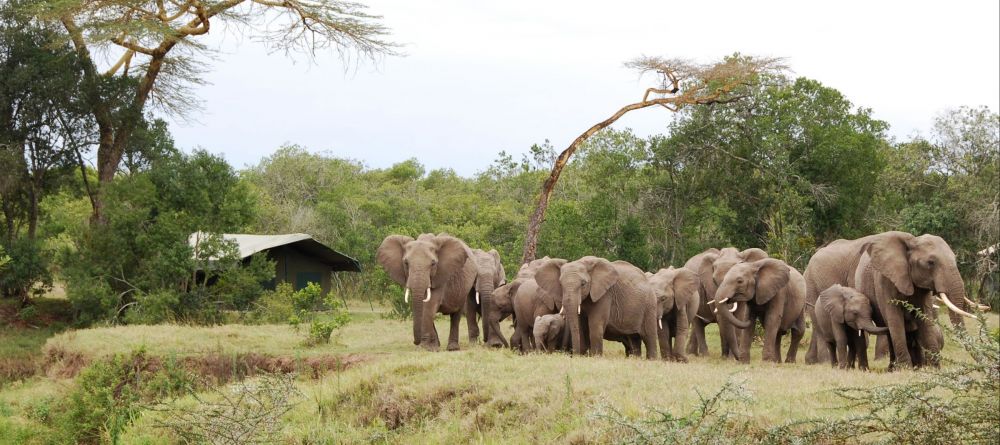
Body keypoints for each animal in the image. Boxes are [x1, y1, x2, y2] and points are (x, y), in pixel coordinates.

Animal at [800, 231, 980, 366]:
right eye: (931, 262)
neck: (912, 241)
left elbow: (924, 317)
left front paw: (932, 368)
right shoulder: (883, 279)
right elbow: (894, 317)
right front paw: (907, 368)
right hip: (813, 285)